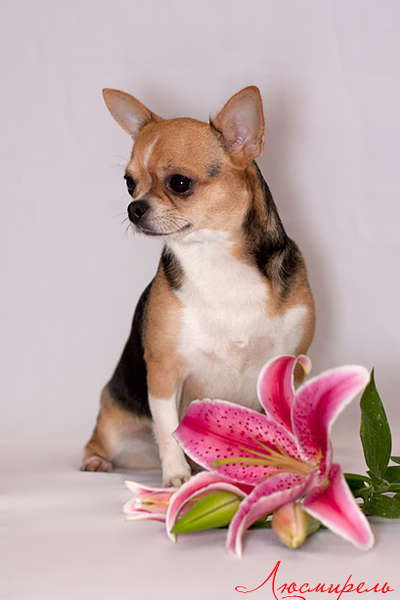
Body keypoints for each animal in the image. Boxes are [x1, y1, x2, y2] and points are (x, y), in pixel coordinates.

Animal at [81, 86, 315, 486]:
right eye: (129, 183)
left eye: (179, 183)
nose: (134, 208)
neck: (215, 257)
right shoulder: (164, 373)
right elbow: (169, 430)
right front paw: (176, 479)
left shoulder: (289, 366)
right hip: (115, 425)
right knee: (100, 440)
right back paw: (99, 461)